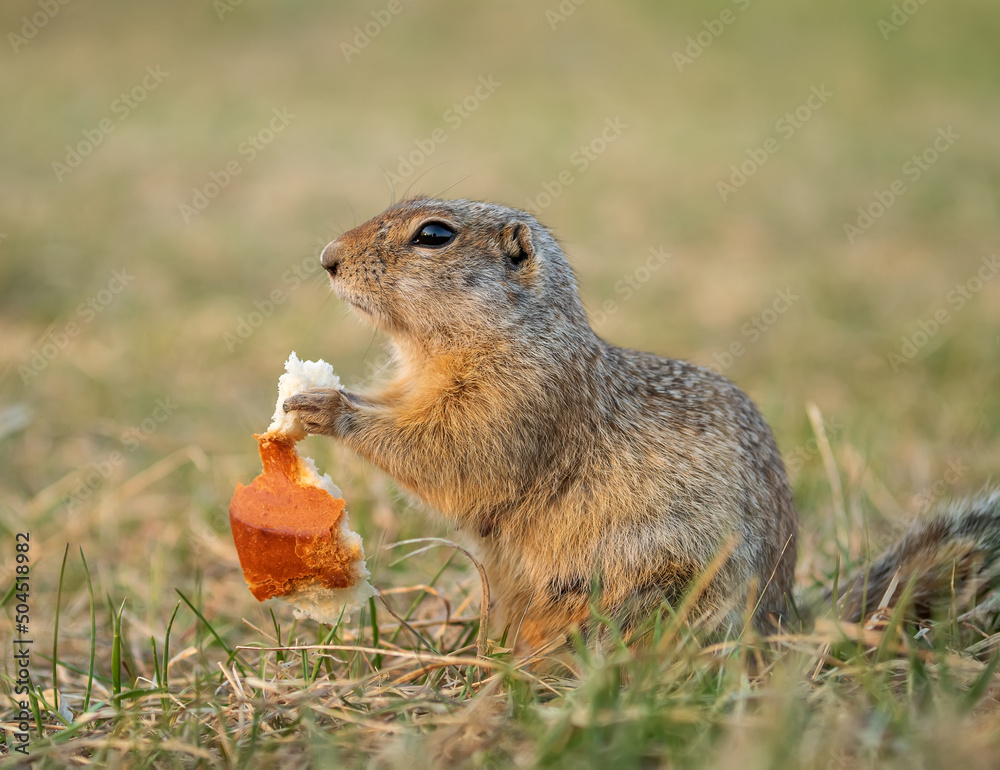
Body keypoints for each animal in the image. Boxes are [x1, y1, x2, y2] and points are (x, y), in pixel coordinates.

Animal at [282, 195, 1000, 644]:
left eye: (434, 234)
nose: (326, 257)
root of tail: (778, 626)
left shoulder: (521, 402)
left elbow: (453, 457)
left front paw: (326, 407)